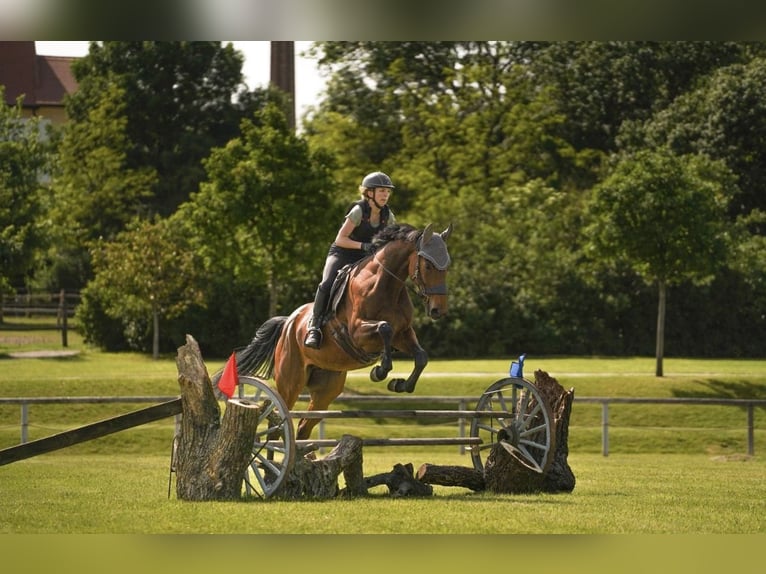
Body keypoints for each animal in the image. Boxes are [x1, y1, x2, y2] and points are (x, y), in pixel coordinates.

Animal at [216, 223, 452, 438]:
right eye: (428, 265)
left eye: (447, 267)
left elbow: (421, 356)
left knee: (303, 426)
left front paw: (400, 385)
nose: (438, 310)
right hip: (290, 382)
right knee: (279, 419)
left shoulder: (403, 334)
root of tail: (288, 323)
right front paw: (380, 371)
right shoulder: (358, 333)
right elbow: (384, 328)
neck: (386, 286)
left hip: (326, 389)